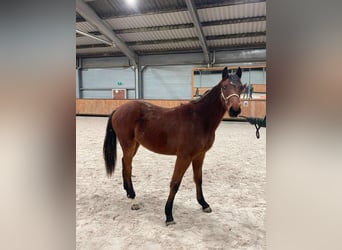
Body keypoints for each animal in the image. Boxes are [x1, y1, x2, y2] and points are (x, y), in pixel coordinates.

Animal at [103, 66, 244, 225]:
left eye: (241, 87)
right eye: (224, 87)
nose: (235, 110)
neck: (199, 119)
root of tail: (118, 109)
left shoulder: (199, 155)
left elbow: (198, 179)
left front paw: (204, 204)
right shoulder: (184, 156)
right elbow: (175, 183)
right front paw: (168, 214)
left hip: (135, 145)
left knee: (125, 164)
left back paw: (128, 192)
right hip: (128, 145)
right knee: (127, 167)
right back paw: (133, 200)